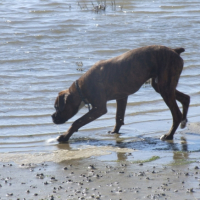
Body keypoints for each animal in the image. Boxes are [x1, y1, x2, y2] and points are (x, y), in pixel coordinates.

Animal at [52, 45, 191, 142]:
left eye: (57, 107)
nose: (52, 117)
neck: (81, 88)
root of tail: (174, 50)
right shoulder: (122, 97)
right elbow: (118, 117)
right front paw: (114, 132)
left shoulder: (99, 108)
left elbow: (77, 122)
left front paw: (64, 137)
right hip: (162, 86)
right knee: (185, 98)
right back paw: (183, 121)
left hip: (165, 88)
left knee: (176, 114)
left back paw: (169, 135)